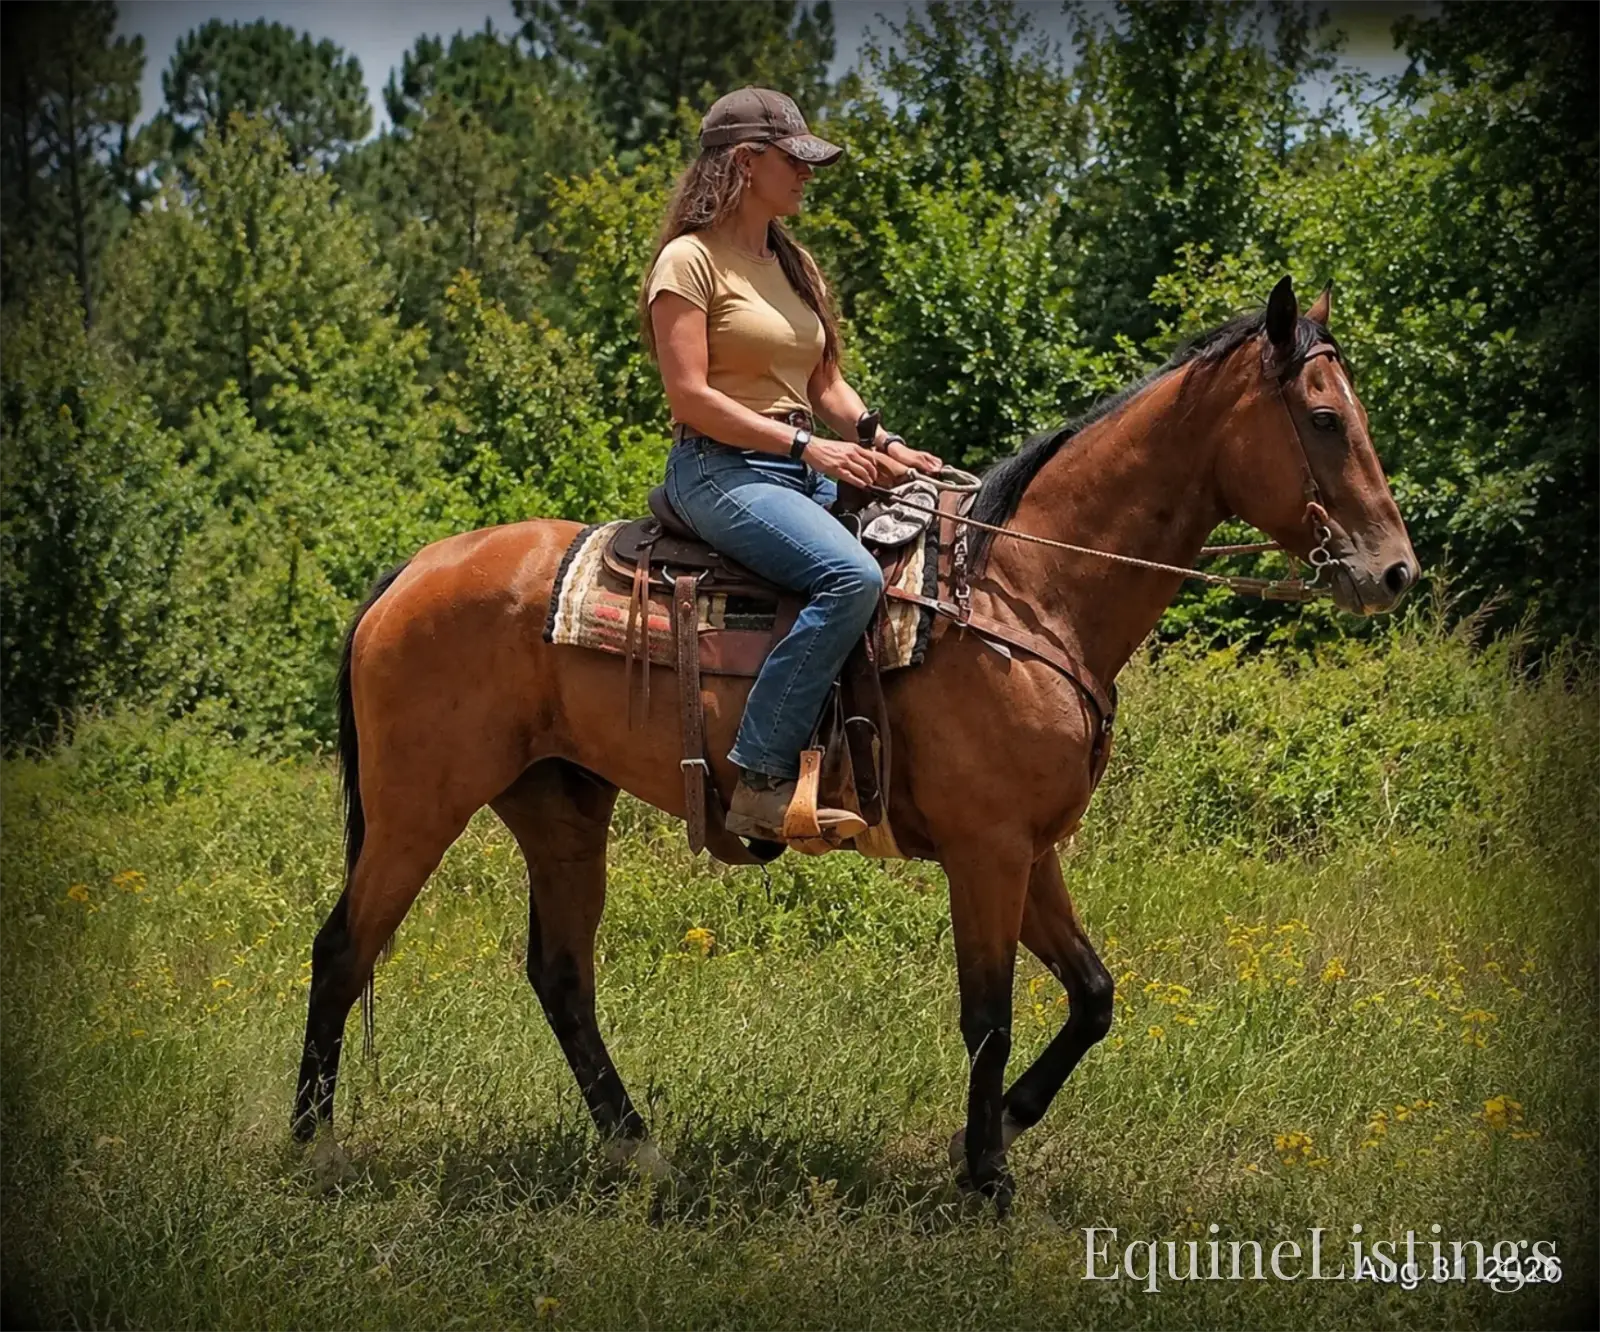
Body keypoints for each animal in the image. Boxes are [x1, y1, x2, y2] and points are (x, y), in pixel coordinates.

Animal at [292, 278, 1417, 1210]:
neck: (1022, 592)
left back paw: (642, 1155)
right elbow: (989, 1013)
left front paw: (996, 1132)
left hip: (558, 806)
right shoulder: (986, 850)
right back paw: (315, 1149)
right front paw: (987, 1182)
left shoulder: (1030, 848)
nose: (1395, 572)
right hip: (419, 804)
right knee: (345, 948)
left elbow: (1093, 996)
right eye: (1326, 419)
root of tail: (409, 574)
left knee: (562, 977)